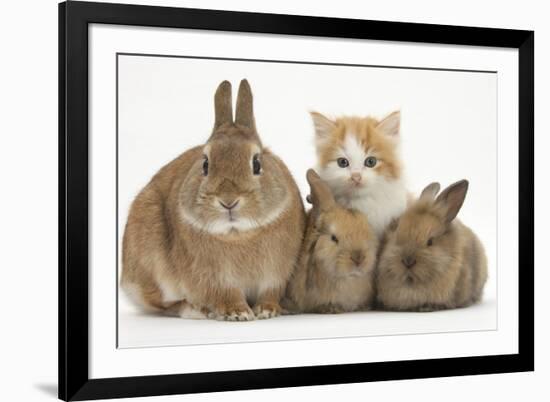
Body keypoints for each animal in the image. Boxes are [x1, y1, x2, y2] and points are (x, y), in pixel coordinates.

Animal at [120, 80, 306, 322]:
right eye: (205, 164)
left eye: (256, 163)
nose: (228, 201)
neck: (238, 234)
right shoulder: (214, 278)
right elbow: (226, 294)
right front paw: (238, 313)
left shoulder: (276, 274)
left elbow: (269, 292)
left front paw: (267, 310)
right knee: (164, 304)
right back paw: (196, 310)